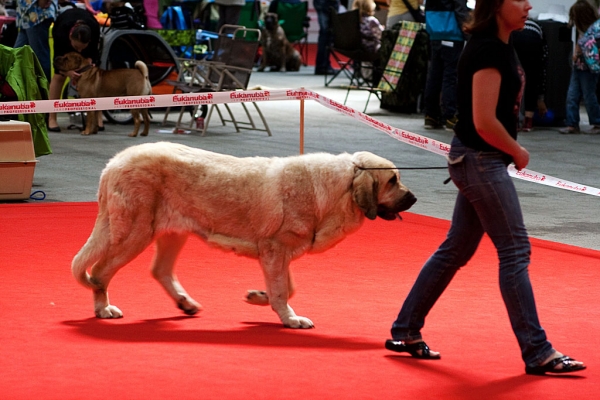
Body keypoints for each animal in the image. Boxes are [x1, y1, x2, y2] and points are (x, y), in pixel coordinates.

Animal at [71, 143, 418, 328]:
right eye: (392, 181)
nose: (414, 198)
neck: (341, 188)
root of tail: (114, 162)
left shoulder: (277, 255)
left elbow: (286, 288)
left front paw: (258, 297)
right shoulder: (275, 250)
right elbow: (283, 291)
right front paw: (290, 319)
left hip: (171, 232)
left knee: (159, 270)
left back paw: (185, 303)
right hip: (135, 233)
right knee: (100, 272)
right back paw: (103, 310)